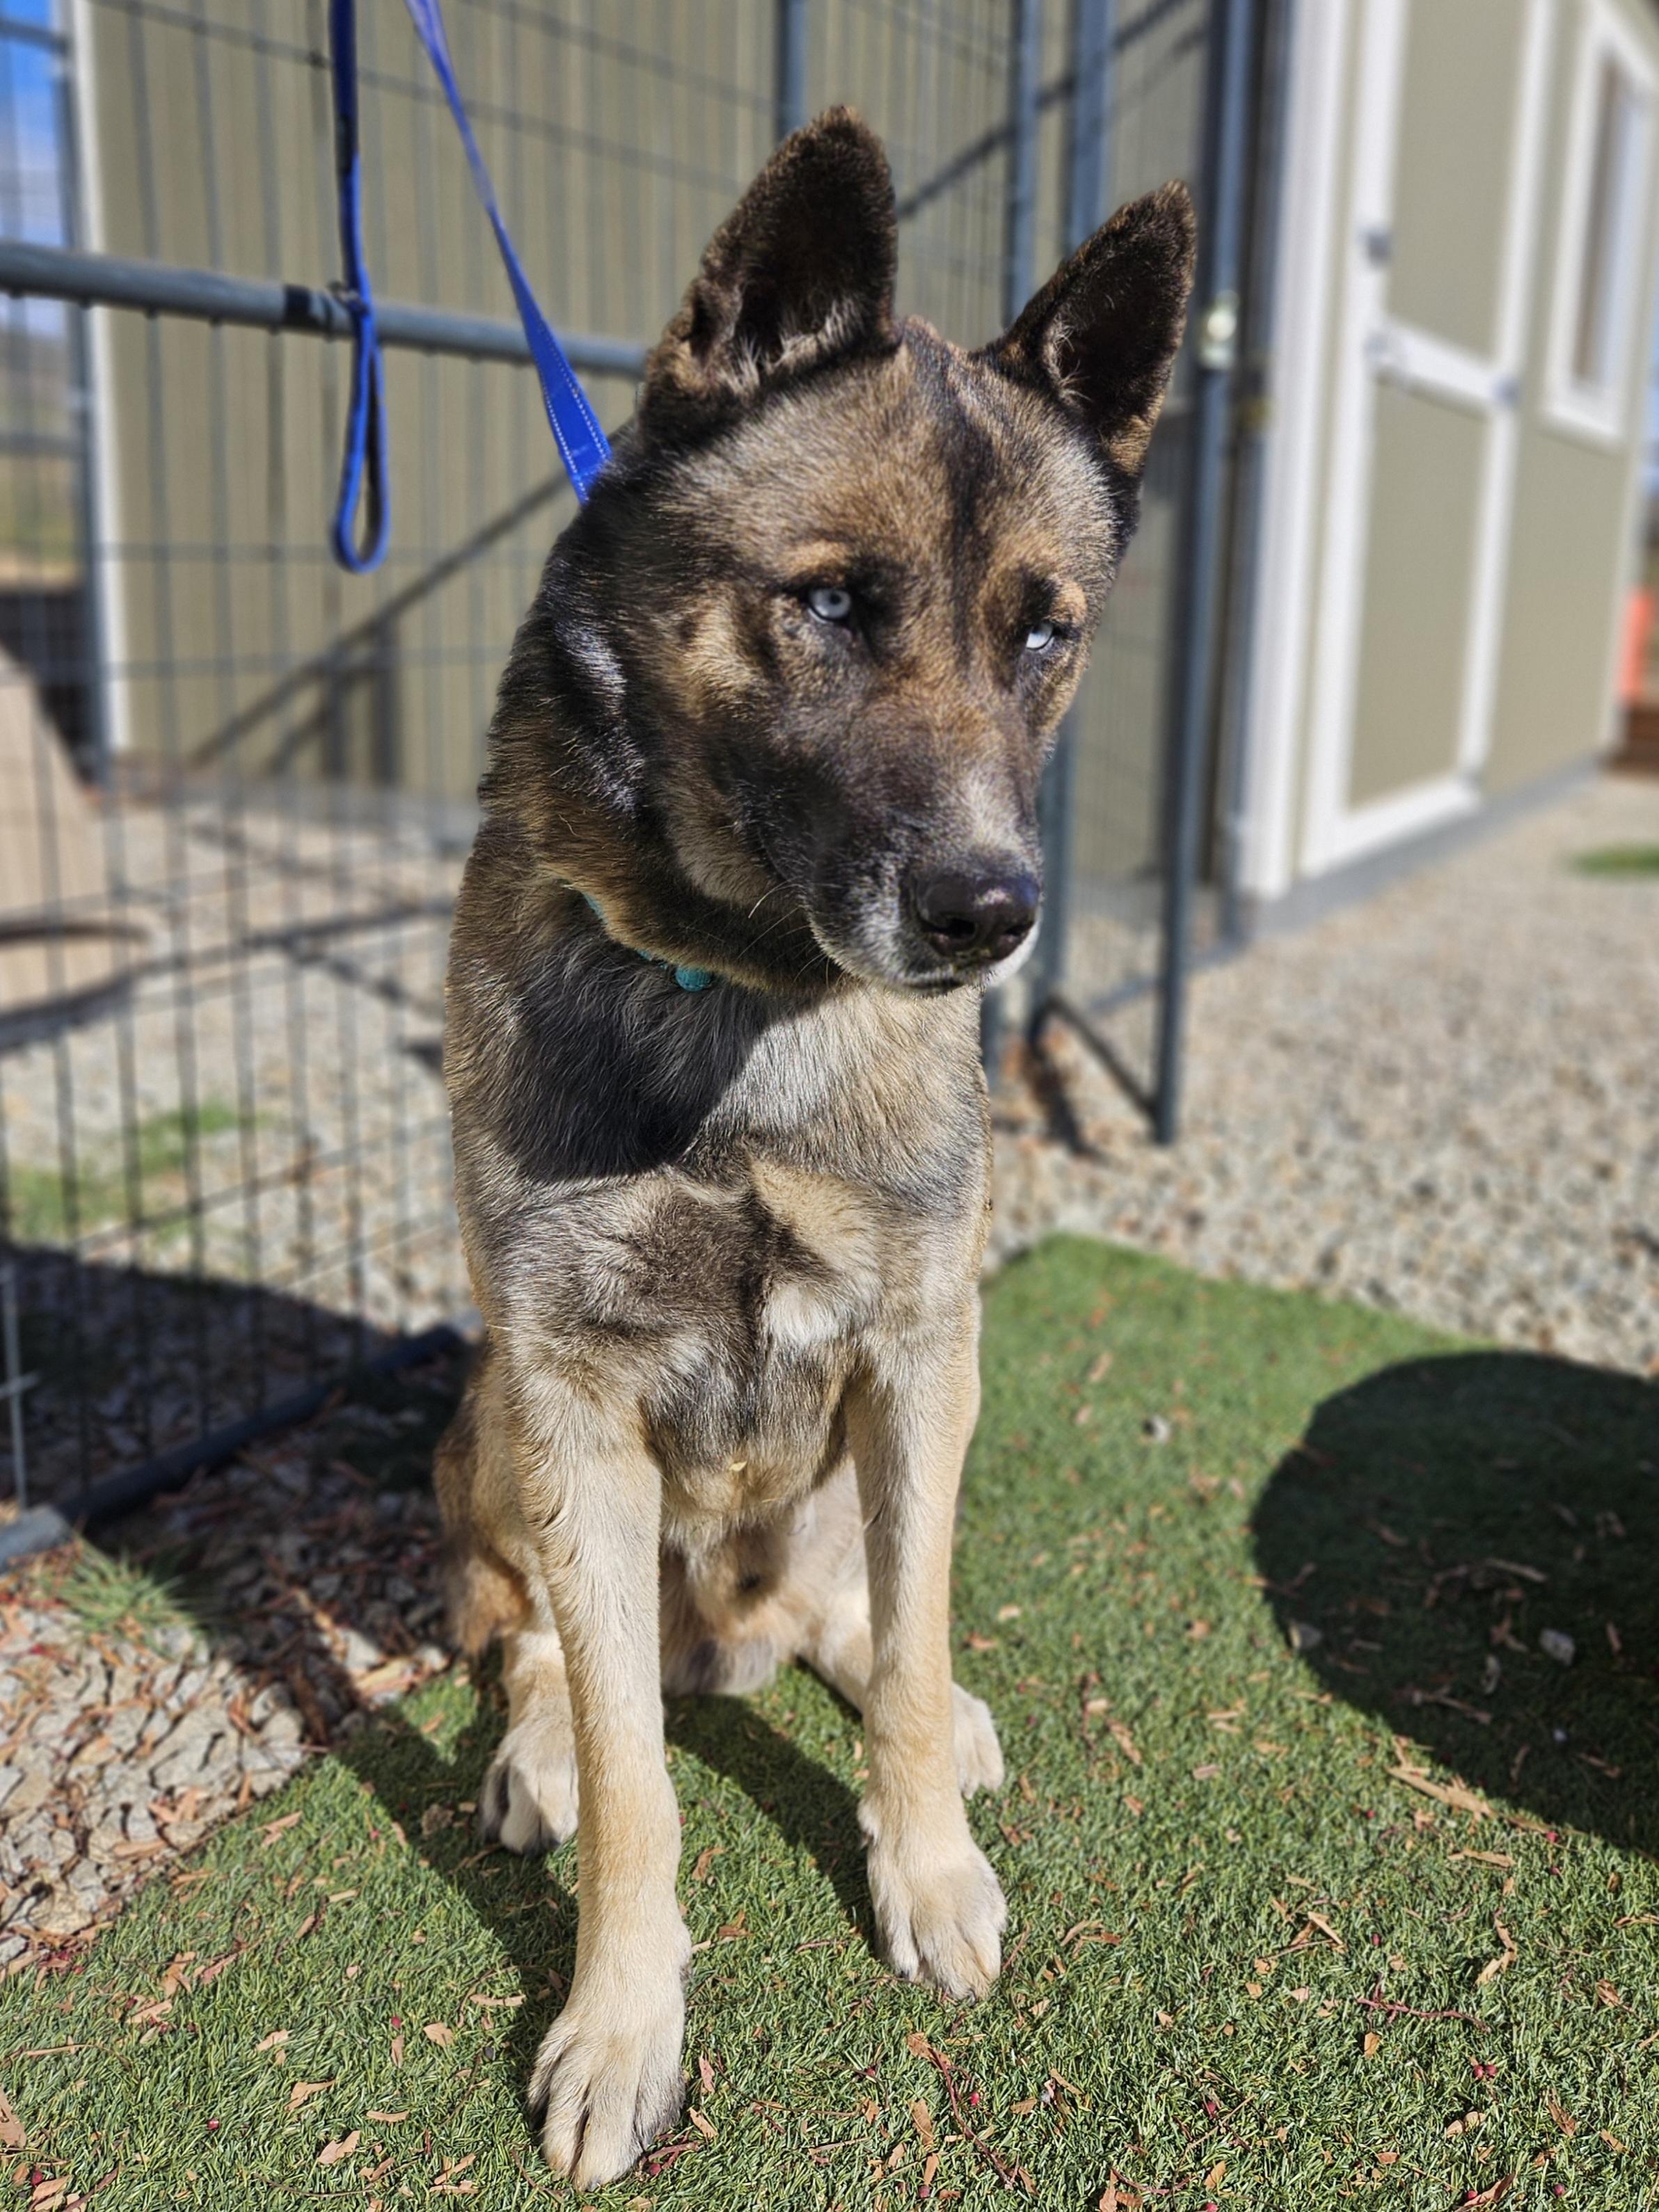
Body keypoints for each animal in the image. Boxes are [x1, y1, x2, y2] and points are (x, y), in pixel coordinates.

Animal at [434, 109, 1193, 2185]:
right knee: (544, 1652)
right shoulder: (571, 1394)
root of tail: (738, 1642)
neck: (740, 1002)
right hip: (493, 1426)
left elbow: (914, 1662)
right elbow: (637, 1783)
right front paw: (623, 2021)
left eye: (1043, 632)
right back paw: (538, 1742)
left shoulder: (923, 1353)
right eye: (834, 602)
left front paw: (921, 1866)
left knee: (878, 1623)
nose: (991, 915)